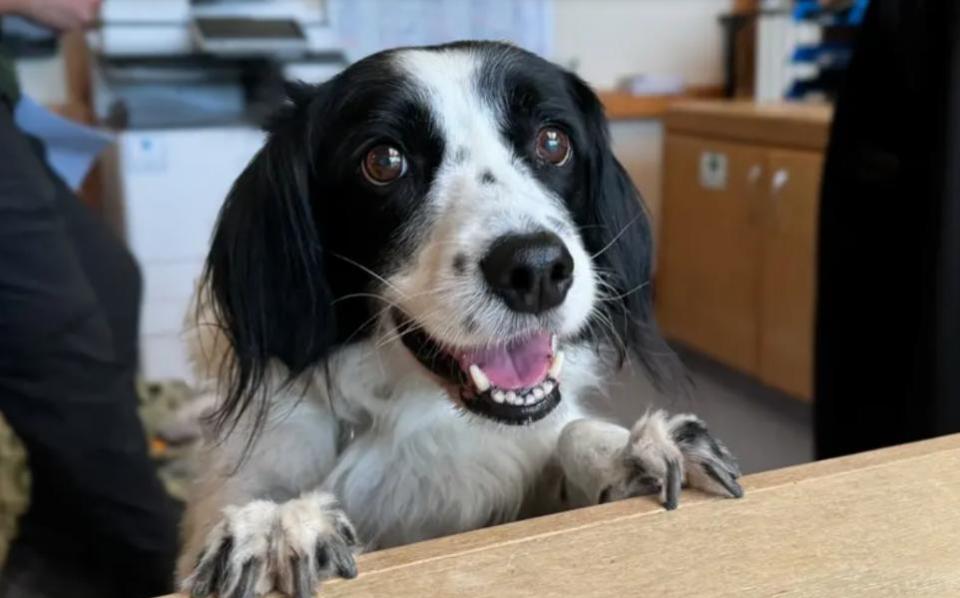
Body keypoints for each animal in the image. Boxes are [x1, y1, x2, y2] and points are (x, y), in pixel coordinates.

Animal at [182, 42, 752, 598]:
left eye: (553, 141)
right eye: (384, 160)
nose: (537, 269)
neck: (418, 414)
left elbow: (568, 431)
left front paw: (632, 451)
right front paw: (276, 526)